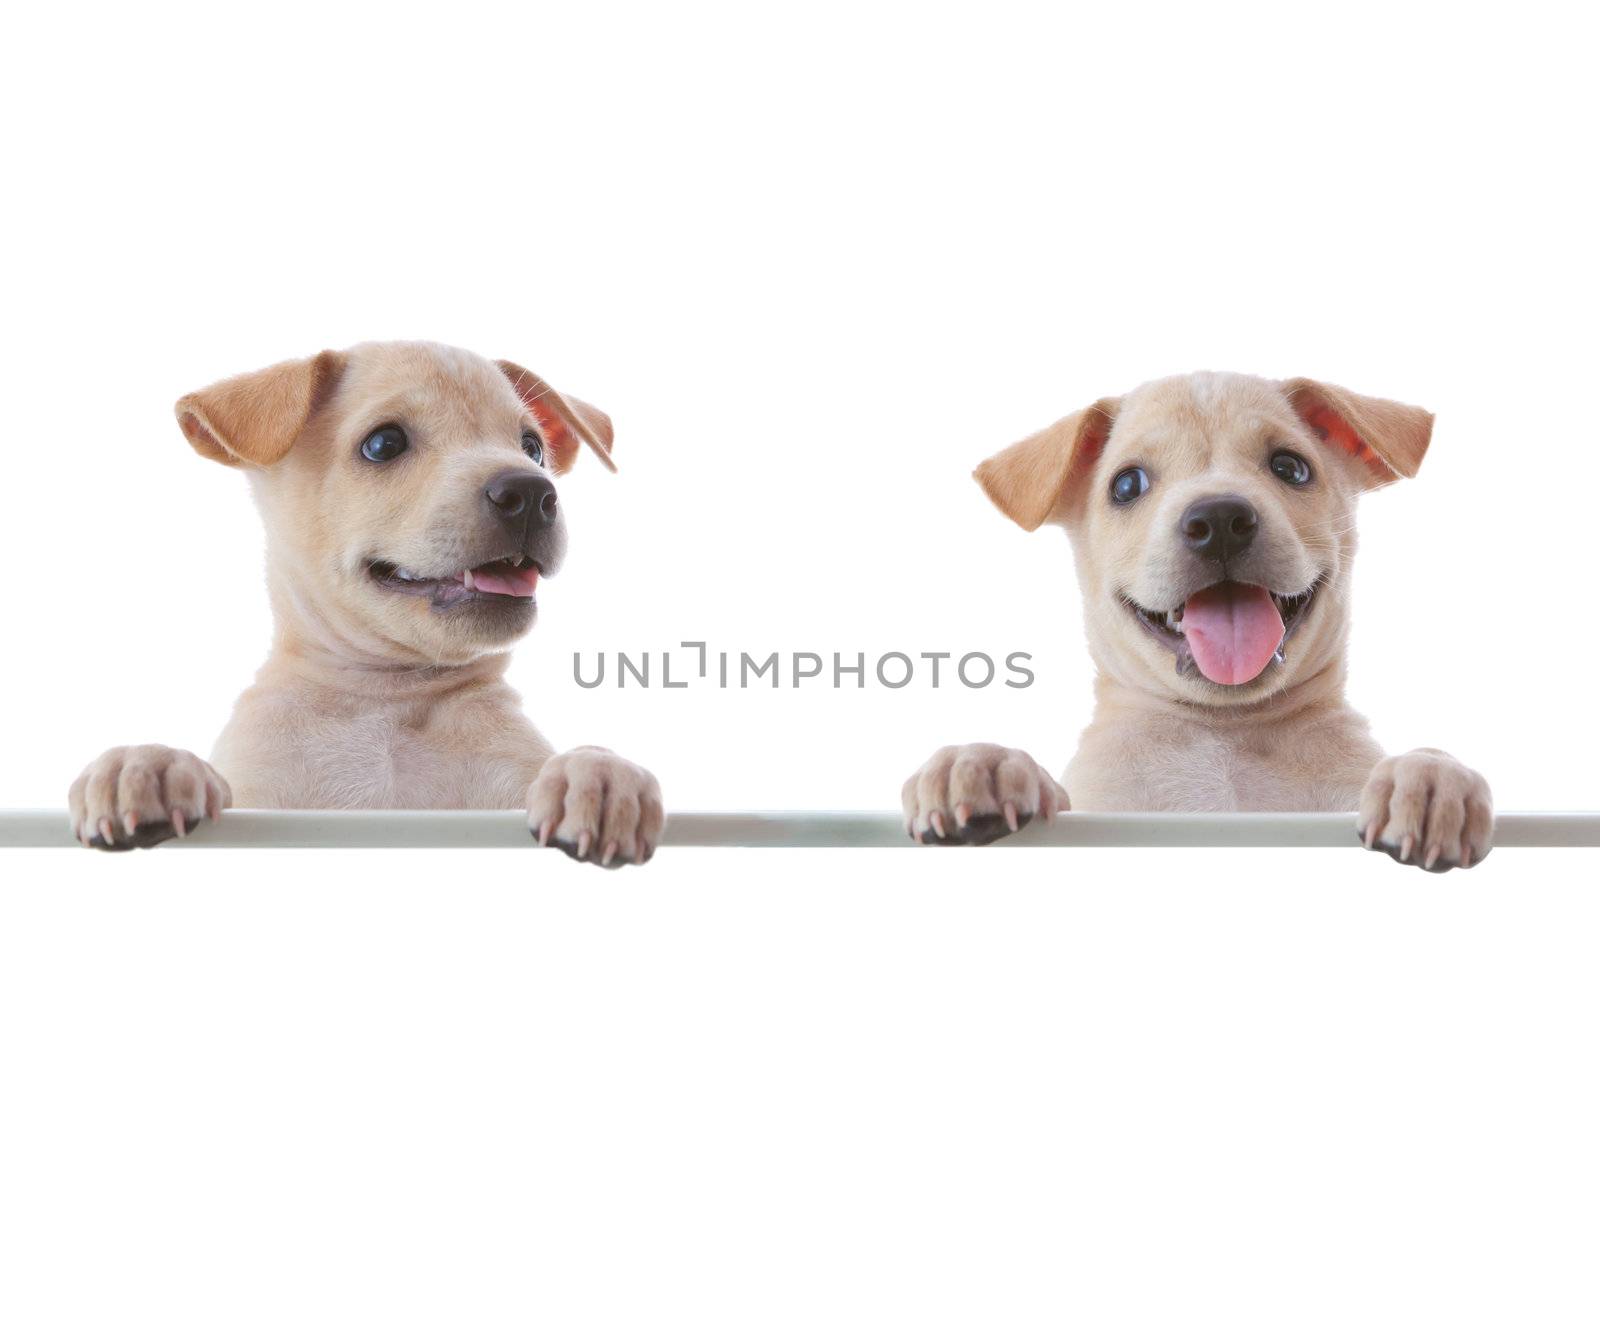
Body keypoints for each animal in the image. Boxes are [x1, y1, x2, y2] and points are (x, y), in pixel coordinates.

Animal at [68, 337, 665, 870]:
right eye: (384, 444)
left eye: (533, 447)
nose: (533, 493)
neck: (385, 703)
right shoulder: (265, 796)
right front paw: (148, 763)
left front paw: (600, 774)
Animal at [896, 374, 1491, 870]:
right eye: (1127, 485)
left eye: (1290, 468)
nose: (1220, 520)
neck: (1224, 735)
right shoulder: (1103, 809)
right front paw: (983, 762)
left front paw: (1433, 777)